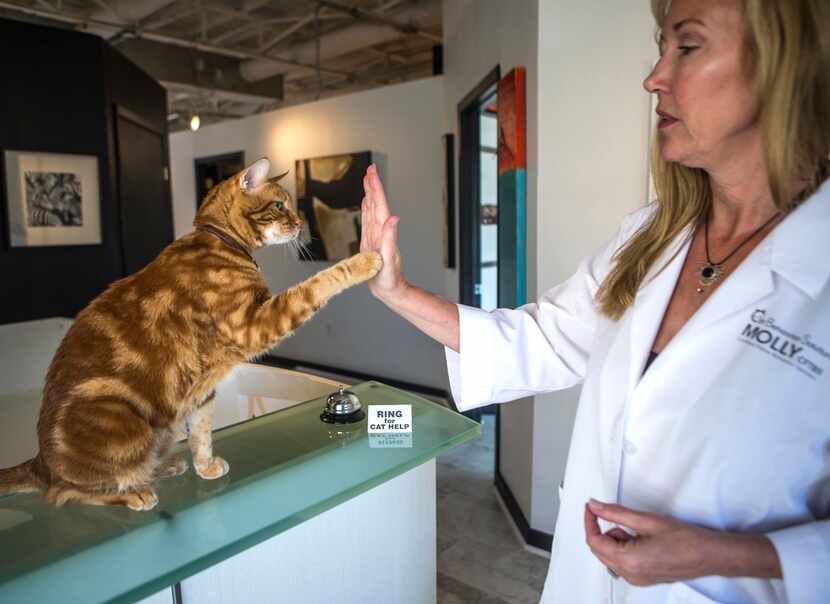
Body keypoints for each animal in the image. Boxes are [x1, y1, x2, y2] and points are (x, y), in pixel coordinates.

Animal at [0, 157, 382, 510]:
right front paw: (364, 261)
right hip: (124, 422)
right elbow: (317, 283)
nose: (301, 224)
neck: (222, 244)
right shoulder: (257, 323)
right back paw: (135, 490)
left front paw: (205, 466)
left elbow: (200, 432)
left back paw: (164, 466)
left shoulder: (200, 390)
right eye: (279, 205)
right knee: (65, 491)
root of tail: (39, 461)